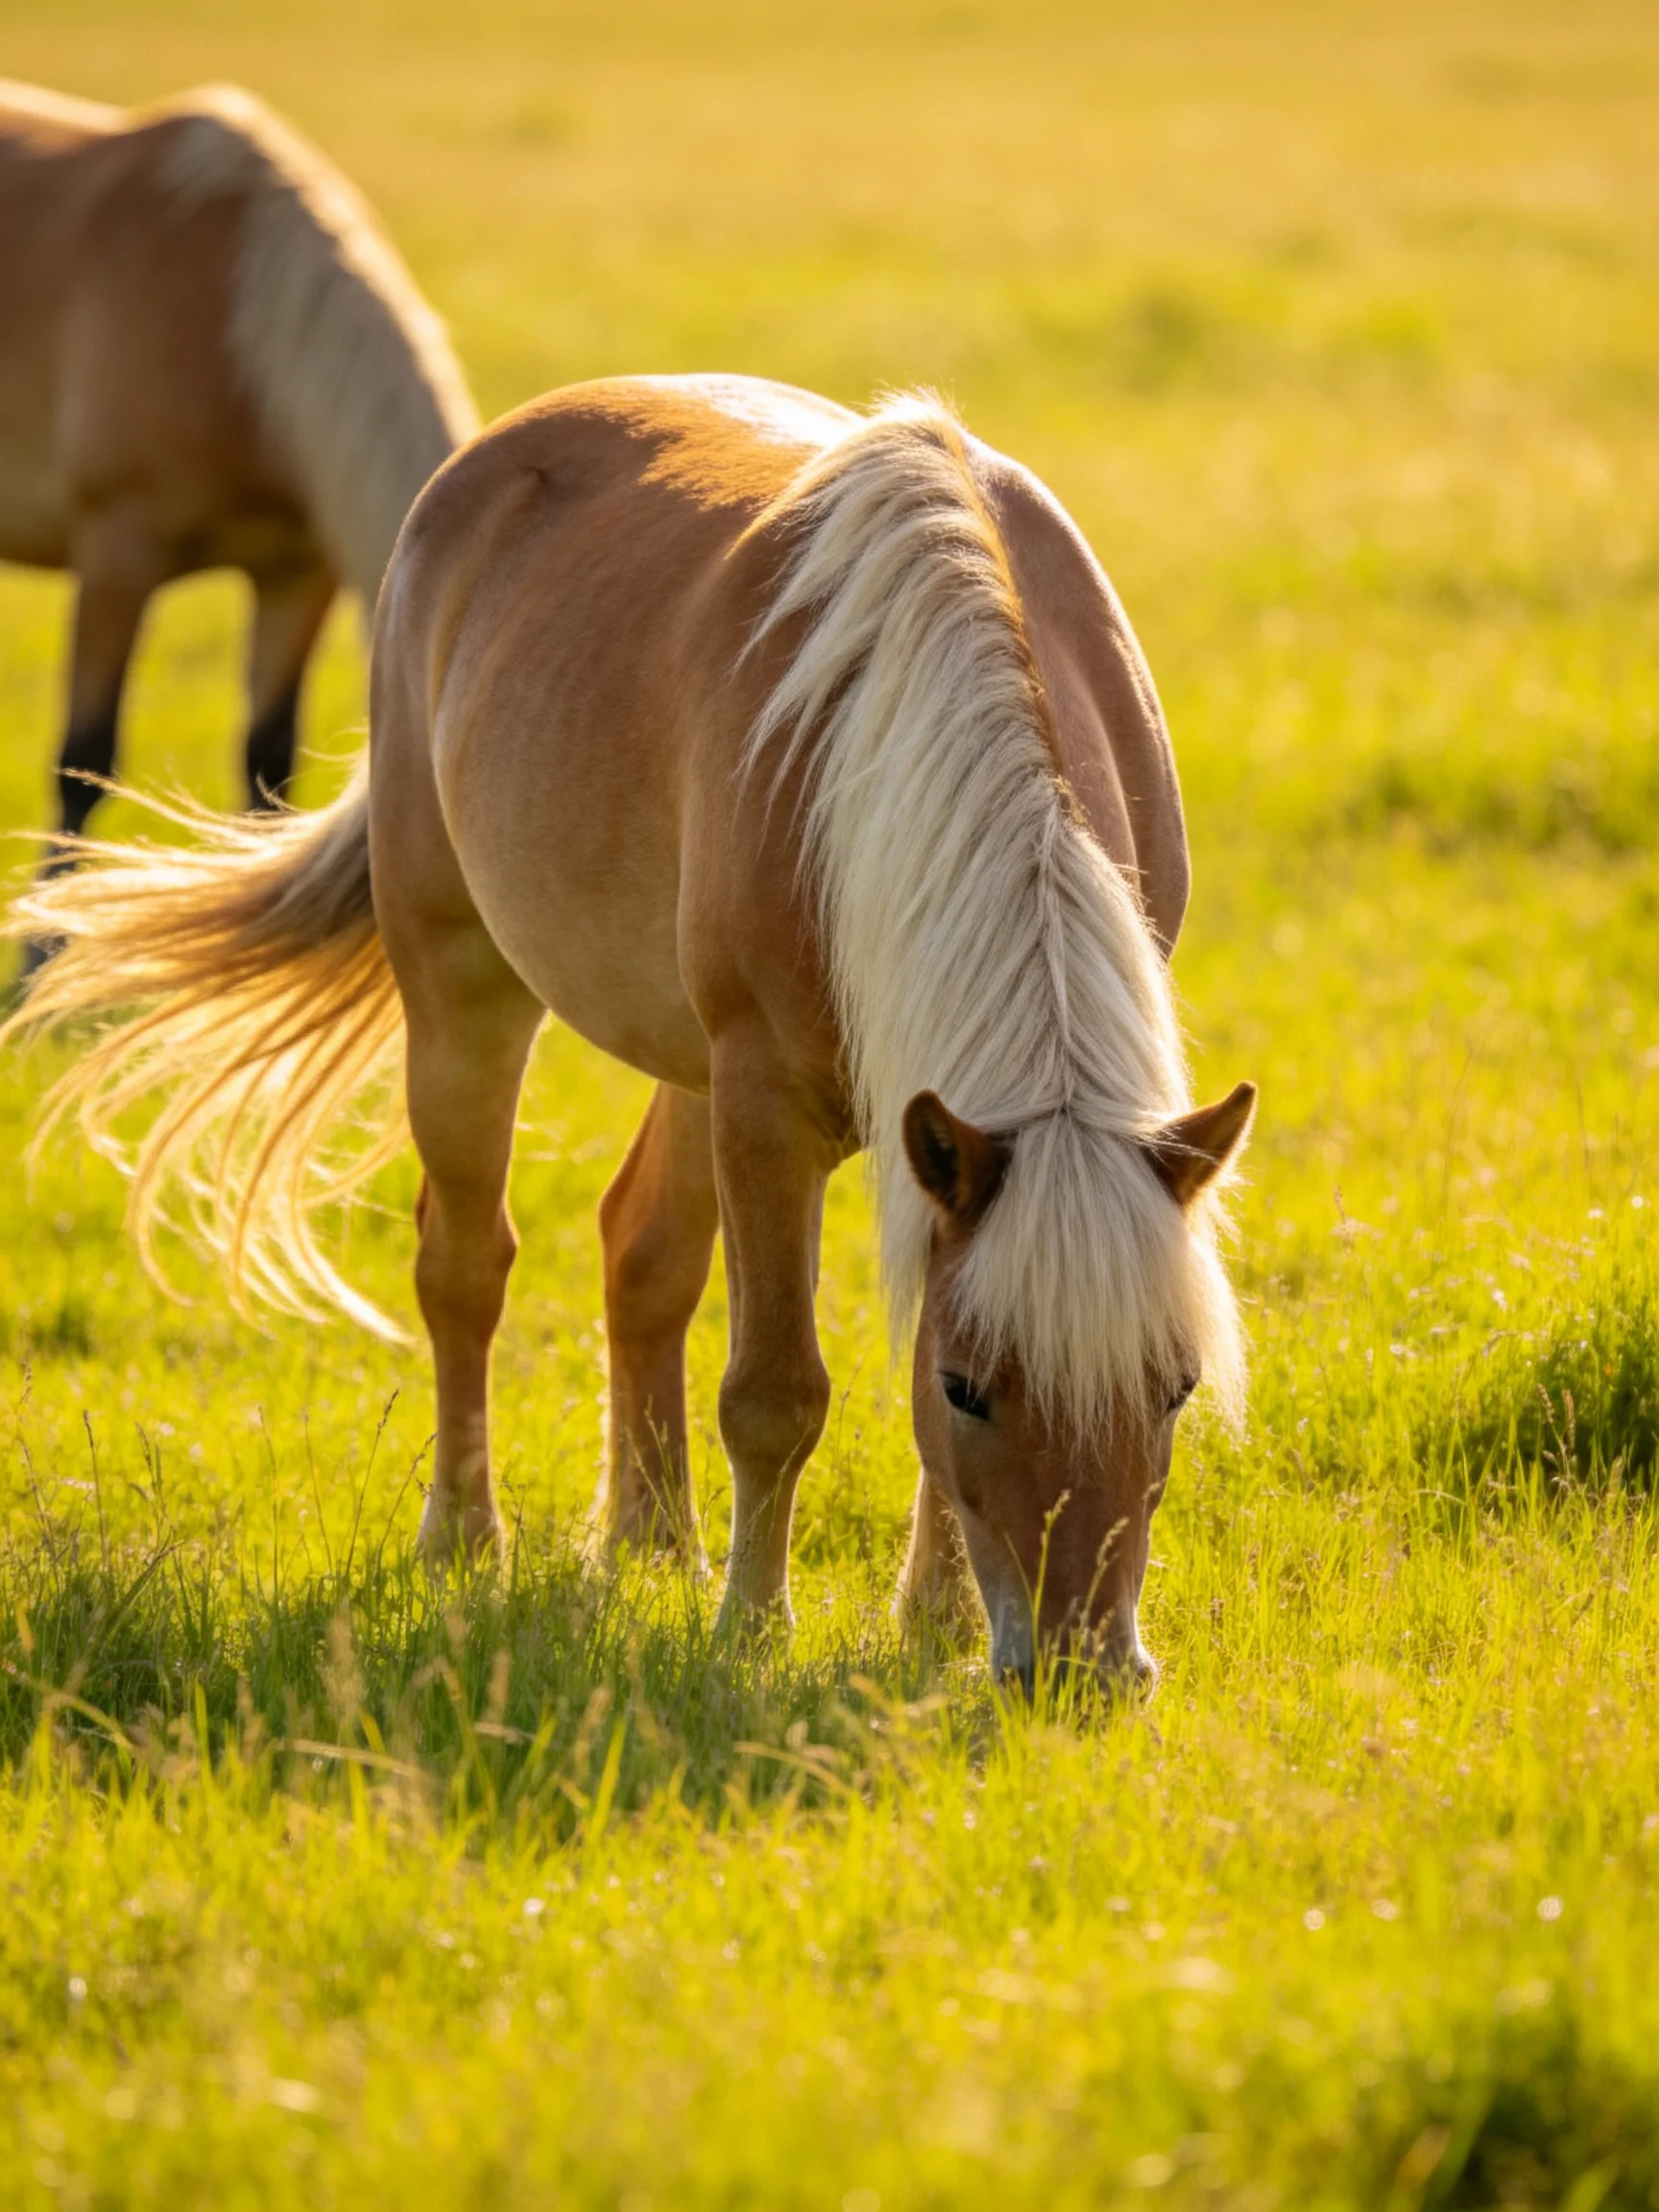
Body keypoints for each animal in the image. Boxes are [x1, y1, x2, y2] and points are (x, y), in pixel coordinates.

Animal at [8, 375, 1255, 1692]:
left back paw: (653, 1550)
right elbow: (775, 1394)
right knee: (464, 1265)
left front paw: (932, 1629)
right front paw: (754, 1633)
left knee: (641, 1254)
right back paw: (468, 1543)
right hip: (464, 986)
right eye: (970, 1392)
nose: (1083, 1672)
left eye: (1175, 1388)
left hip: (689, 1066)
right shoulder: (769, 1108)